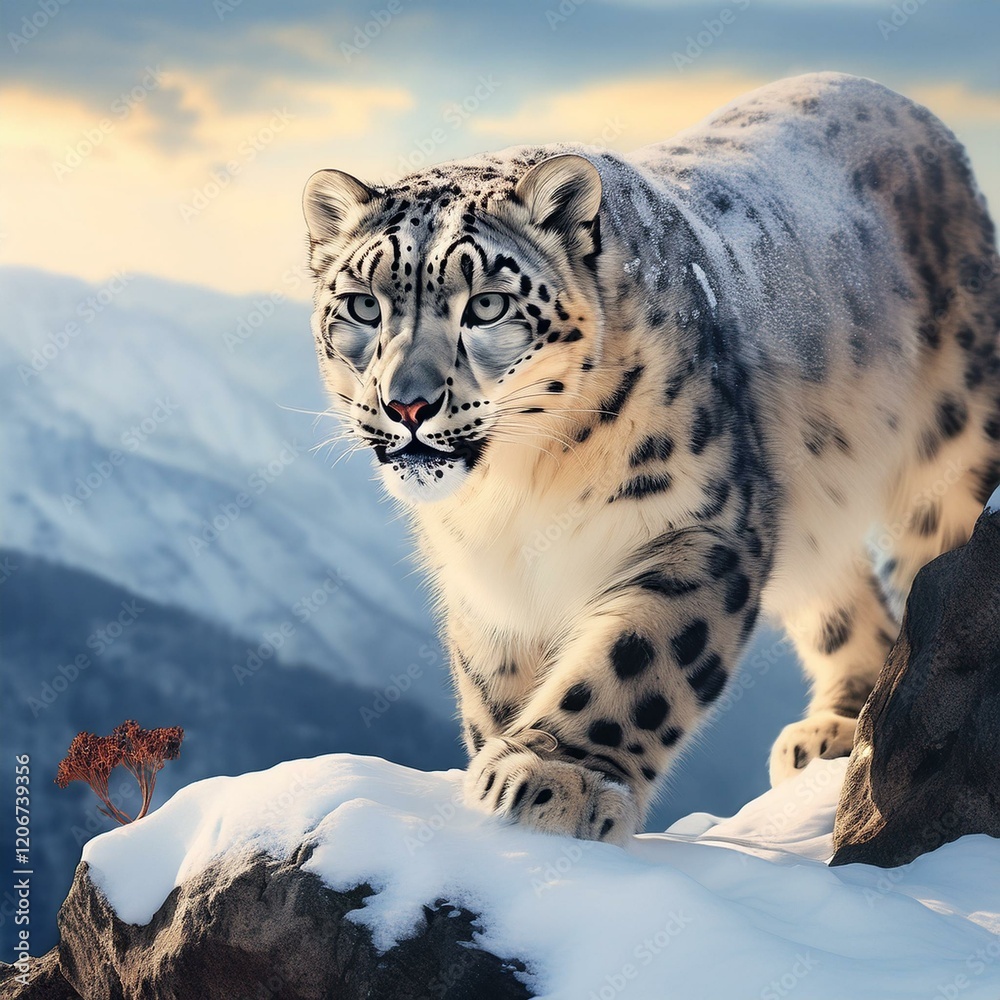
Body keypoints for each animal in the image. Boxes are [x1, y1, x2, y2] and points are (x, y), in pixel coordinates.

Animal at [302, 72, 1000, 844]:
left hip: (953, 444)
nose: (408, 405)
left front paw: (554, 778)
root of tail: (893, 97)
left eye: (486, 304)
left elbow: (638, 659)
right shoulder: (487, 583)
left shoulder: (701, 524)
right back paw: (835, 734)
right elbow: (492, 683)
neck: (516, 491)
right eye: (363, 306)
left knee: (938, 567)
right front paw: (496, 765)